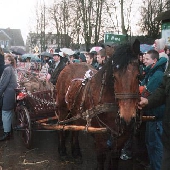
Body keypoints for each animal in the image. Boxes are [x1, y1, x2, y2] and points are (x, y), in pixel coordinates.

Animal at [56, 39, 140, 169]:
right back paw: (63, 152)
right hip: (63, 109)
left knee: (74, 129)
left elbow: (114, 157)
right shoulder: (99, 133)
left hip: (77, 112)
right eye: (114, 77)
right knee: (61, 127)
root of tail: (69, 65)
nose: (127, 119)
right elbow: (101, 156)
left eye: (139, 75)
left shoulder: (122, 135)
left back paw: (76, 153)